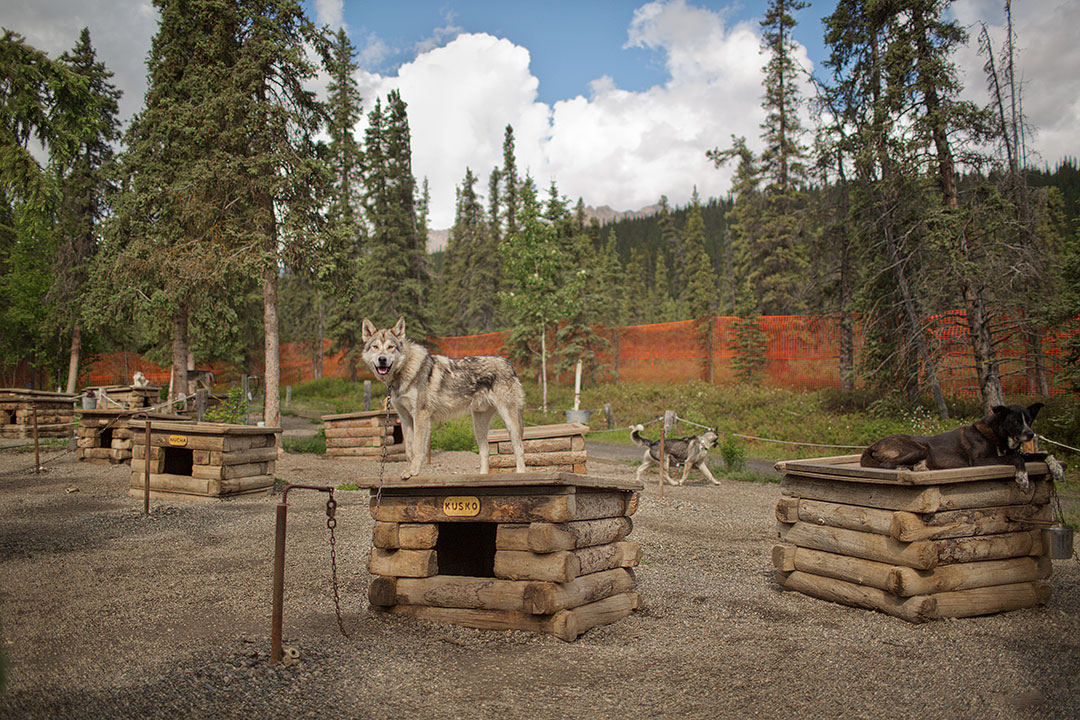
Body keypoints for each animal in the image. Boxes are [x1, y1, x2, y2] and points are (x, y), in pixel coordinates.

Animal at [859, 405, 1062, 490]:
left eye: (1029, 420)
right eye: (1015, 421)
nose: (1031, 434)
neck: (997, 435)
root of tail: (875, 443)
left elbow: (1045, 453)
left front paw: (1058, 470)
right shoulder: (980, 461)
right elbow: (1016, 457)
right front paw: (1022, 477)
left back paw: (917, 467)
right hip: (919, 447)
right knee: (887, 465)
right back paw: (908, 468)